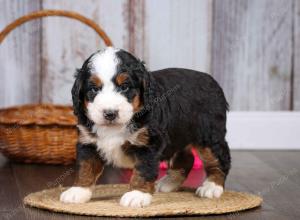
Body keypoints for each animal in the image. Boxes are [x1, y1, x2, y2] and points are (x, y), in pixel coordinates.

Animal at [59, 47, 231, 207]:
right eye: (94, 89)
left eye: (124, 87)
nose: (110, 113)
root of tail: (211, 80)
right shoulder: (88, 142)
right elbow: (85, 167)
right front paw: (78, 191)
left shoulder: (148, 143)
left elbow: (143, 169)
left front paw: (137, 194)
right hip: (179, 135)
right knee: (186, 159)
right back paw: (168, 183)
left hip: (209, 136)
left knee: (220, 160)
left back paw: (212, 186)